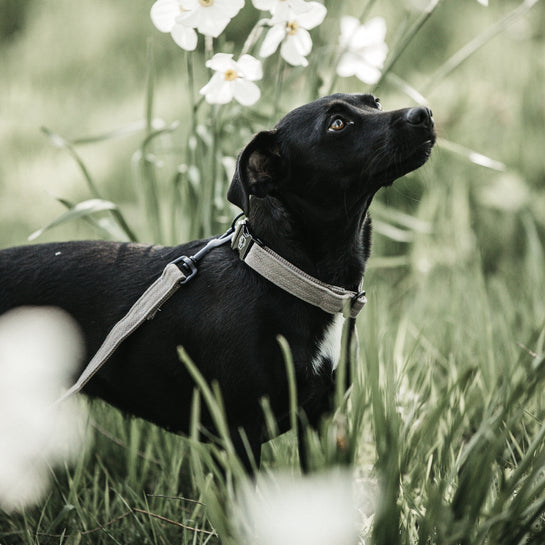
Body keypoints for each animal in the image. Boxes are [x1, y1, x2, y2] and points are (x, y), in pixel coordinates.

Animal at [0, 91, 434, 470]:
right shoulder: (240, 435)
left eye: (374, 101)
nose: (424, 113)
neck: (286, 275)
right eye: (337, 124)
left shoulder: (319, 422)